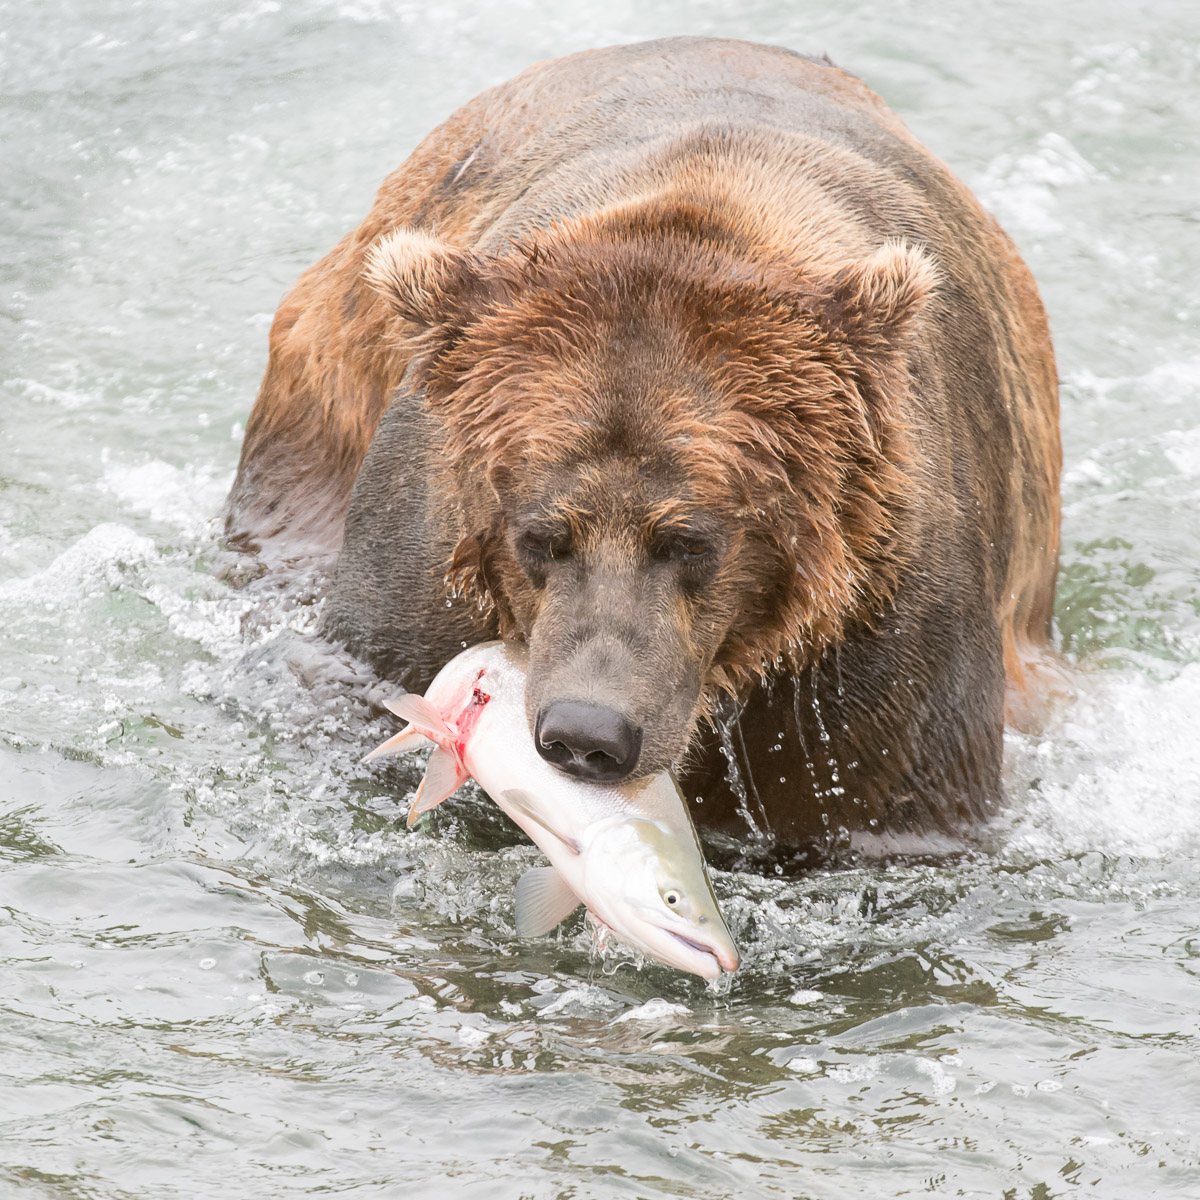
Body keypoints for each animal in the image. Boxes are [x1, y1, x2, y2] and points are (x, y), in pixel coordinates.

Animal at [225, 37, 1060, 864]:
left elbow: (888, 800)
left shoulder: (872, 637)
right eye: (539, 535)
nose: (588, 732)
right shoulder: (420, 575)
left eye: (690, 540)